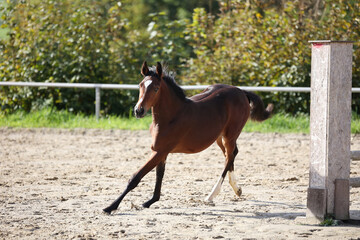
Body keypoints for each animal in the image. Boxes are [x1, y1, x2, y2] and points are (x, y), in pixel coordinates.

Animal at [103, 61, 272, 213]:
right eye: (140, 85)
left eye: (156, 88)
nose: (139, 111)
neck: (171, 117)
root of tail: (242, 92)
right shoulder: (160, 151)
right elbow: (159, 175)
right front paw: (150, 201)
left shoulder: (160, 151)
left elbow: (135, 178)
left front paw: (110, 207)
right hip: (219, 137)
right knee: (231, 154)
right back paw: (237, 189)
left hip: (230, 135)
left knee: (229, 156)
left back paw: (211, 195)